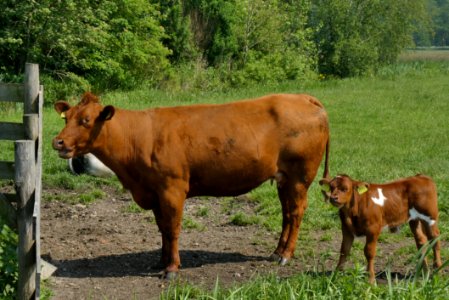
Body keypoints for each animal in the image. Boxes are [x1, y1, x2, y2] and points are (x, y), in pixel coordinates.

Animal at [52, 92, 328, 278]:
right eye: (66, 118)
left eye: (87, 120)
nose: (58, 142)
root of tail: (303, 97)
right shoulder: (154, 192)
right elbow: (163, 229)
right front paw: (161, 261)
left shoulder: (172, 189)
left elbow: (173, 229)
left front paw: (172, 268)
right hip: (284, 179)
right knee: (287, 215)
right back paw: (276, 252)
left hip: (300, 177)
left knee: (296, 213)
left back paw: (286, 255)